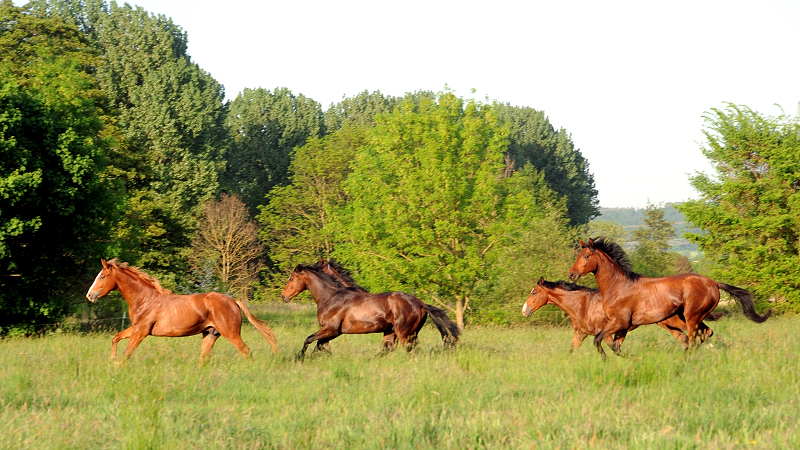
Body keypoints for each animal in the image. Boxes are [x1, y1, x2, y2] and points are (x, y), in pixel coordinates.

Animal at [85, 260, 278, 362]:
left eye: (102, 277)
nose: (89, 295)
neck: (145, 299)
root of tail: (233, 301)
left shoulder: (141, 332)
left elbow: (127, 353)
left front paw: (117, 367)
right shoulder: (136, 328)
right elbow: (115, 338)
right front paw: (112, 360)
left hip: (230, 333)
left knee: (246, 352)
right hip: (210, 334)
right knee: (204, 358)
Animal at [282, 264, 460, 358]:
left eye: (291, 278)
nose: (283, 296)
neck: (331, 297)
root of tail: (418, 302)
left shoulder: (331, 329)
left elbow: (309, 340)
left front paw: (300, 358)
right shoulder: (331, 333)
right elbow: (319, 345)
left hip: (404, 334)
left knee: (410, 351)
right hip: (395, 333)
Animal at [520, 278, 720, 352]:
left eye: (535, 293)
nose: (524, 310)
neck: (583, 305)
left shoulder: (606, 333)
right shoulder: (580, 334)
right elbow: (572, 351)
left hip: (678, 320)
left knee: (701, 332)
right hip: (668, 323)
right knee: (690, 336)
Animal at [568, 236, 768, 358]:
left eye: (586, 256)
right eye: (577, 255)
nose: (572, 274)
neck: (618, 287)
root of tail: (713, 283)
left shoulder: (620, 322)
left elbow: (597, 339)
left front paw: (605, 359)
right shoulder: (622, 326)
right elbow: (616, 347)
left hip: (691, 316)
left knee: (694, 339)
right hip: (687, 316)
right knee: (704, 334)